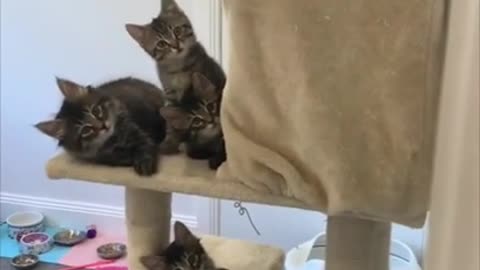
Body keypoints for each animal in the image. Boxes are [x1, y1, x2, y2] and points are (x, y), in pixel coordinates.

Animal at [35, 77, 167, 176]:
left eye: (95, 110)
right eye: (86, 130)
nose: (103, 126)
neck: (115, 139)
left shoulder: (137, 130)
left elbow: (145, 144)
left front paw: (144, 163)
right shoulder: (98, 156)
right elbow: (114, 159)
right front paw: (127, 158)